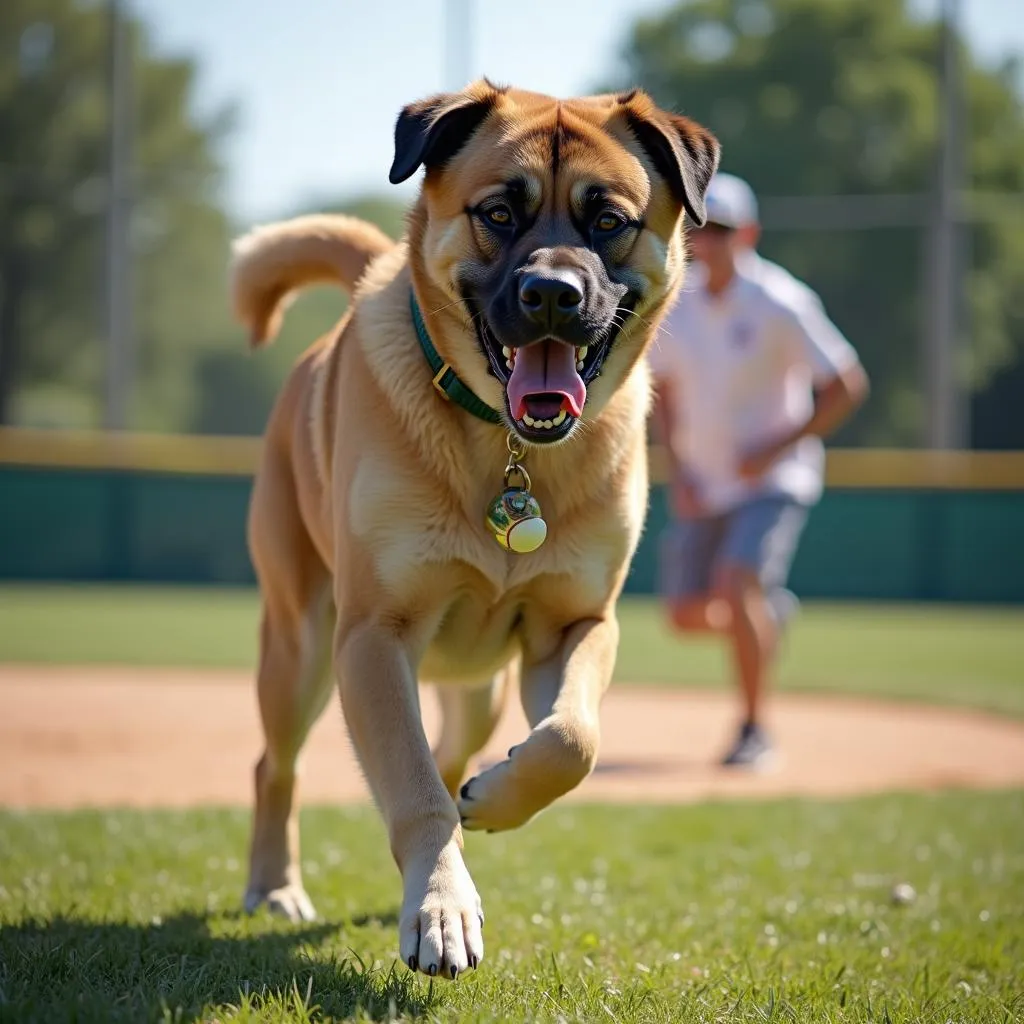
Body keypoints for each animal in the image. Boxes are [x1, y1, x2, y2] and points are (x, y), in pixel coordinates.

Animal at [228, 77, 716, 974]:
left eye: (608, 219)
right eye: (498, 212)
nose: (553, 293)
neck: (509, 455)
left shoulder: (575, 624)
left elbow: (572, 742)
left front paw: (494, 799)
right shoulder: (372, 635)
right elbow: (415, 792)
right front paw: (442, 912)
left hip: (474, 689)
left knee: (449, 753)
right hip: (300, 643)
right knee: (275, 766)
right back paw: (277, 886)